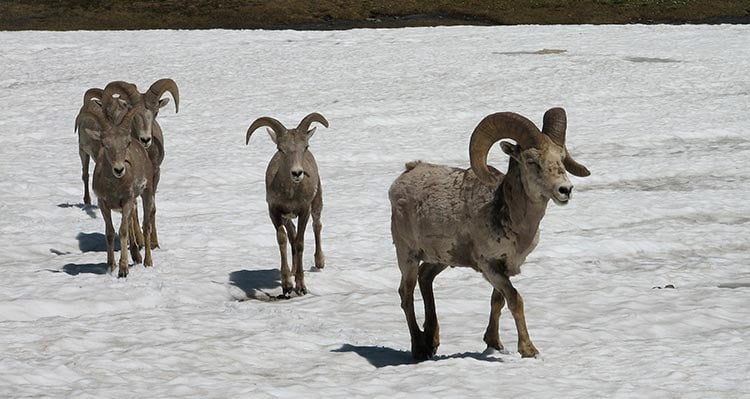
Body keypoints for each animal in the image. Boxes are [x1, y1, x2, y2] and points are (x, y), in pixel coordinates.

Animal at [76, 105, 156, 278]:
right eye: (105, 144)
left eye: (126, 143)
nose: (119, 169)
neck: (114, 186)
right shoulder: (103, 204)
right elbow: (110, 233)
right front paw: (111, 266)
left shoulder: (126, 202)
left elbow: (123, 231)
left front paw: (123, 270)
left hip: (147, 194)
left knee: (146, 226)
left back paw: (148, 262)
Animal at [247, 112, 328, 296]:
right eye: (280, 149)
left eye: (305, 147)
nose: (297, 173)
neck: (291, 195)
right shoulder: (275, 213)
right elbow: (283, 240)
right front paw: (287, 285)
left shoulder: (304, 211)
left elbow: (300, 243)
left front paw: (301, 287)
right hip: (288, 218)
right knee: (292, 235)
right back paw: (293, 270)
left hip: (317, 204)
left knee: (317, 226)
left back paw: (319, 262)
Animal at [390, 108, 592, 360]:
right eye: (531, 161)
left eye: (561, 157)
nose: (565, 190)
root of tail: (404, 176)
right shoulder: (489, 266)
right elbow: (514, 299)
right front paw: (528, 350)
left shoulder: (504, 268)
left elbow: (498, 300)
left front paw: (494, 342)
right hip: (407, 255)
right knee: (406, 294)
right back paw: (419, 349)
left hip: (441, 259)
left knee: (425, 278)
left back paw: (432, 340)